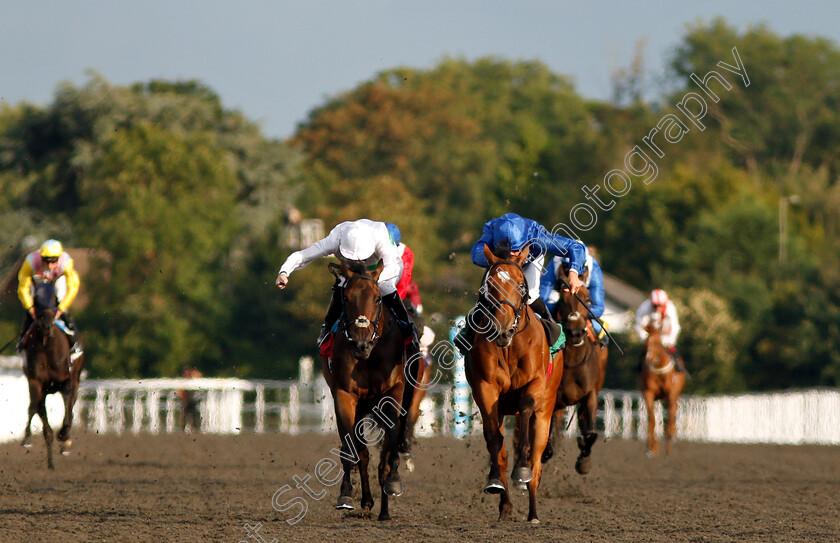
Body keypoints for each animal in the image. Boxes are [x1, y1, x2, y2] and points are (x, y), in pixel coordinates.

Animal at [20, 282, 85, 470]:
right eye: (36, 299)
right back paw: (50, 461)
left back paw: (65, 441)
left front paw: (64, 435)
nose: (46, 325)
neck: (47, 346)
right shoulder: (36, 383)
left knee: (70, 408)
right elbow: (34, 407)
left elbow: (68, 408)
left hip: (76, 379)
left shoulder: (67, 381)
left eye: (55, 298)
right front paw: (27, 437)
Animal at [322, 262, 410, 520]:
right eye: (346, 298)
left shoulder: (394, 390)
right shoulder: (344, 395)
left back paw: (384, 510)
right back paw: (368, 501)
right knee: (361, 453)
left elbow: (392, 438)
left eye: (378, 298)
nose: (361, 344)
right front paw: (346, 494)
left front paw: (393, 481)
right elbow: (351, 447)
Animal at [466, 245, 564, 524]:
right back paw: (506, 506)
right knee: (502, 453)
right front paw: (494, 482)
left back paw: (533, 513)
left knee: (537, 461)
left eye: (521, 285)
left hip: (547, 408)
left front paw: (521, 470)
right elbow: (494, 442)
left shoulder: (534, 387)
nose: (503, 330)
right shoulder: (486, 390)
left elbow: (525, 427)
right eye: (489, 286)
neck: (509, 348)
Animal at [540, 280, 608, 476]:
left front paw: (583, 462)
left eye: (588, 299)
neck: (572, 362)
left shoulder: (589, 394)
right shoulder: (552, 397)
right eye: (563, 300)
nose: (575, 331)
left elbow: (591, 432)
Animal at [640, 318, 684, 460]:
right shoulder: (648, 393)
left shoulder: (671, 394)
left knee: (672, 414)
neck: (659, 371)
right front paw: (651, 449)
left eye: (658, 343)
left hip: (673, 396)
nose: (648, 360)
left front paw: (668, 451)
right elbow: (652, 420)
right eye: (646, 343)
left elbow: (669, 421)